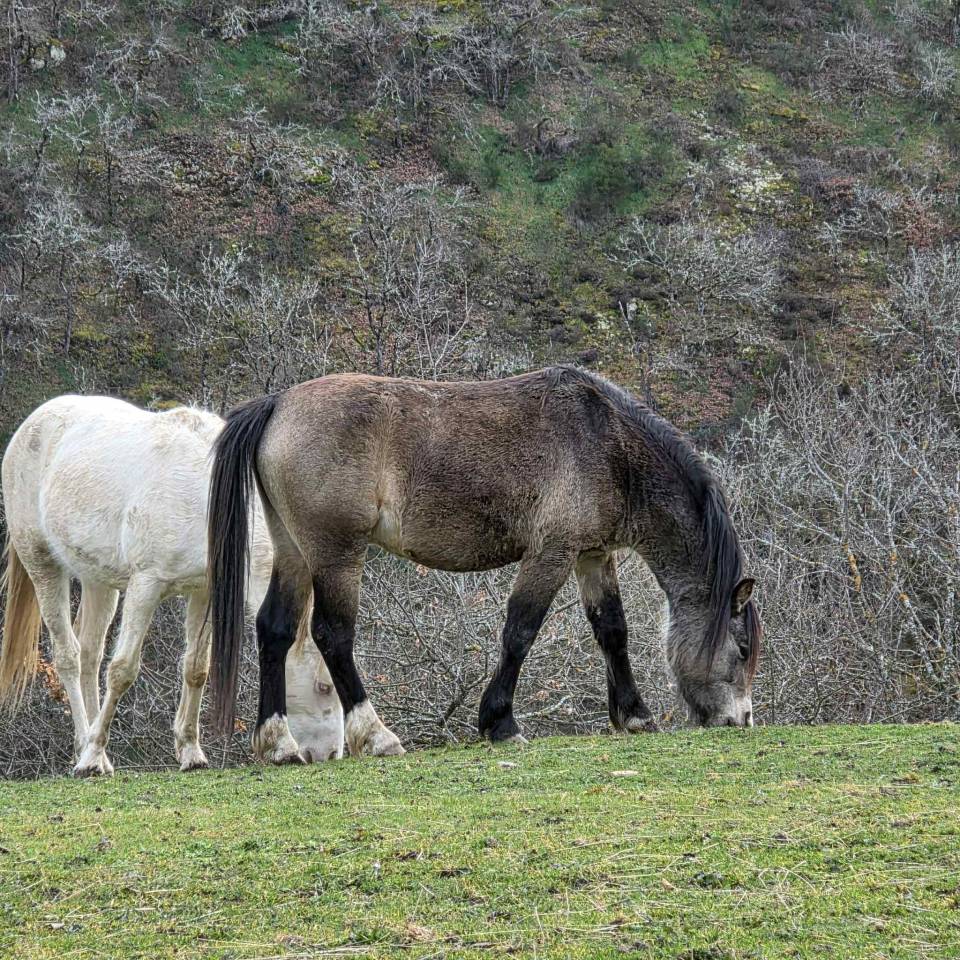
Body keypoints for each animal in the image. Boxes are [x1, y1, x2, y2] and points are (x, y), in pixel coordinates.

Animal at [0, 395, 343, 777]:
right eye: (324, 686)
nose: (332, 753)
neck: (205, 494)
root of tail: (34, 421)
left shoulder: (204, 592)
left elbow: (196, 669)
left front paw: (191, 753)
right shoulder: (145, 586)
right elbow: (122, 670)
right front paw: (93, 754)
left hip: (98, 581)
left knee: (90, 655)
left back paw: (93, 750)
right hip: (43, 566)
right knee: (69, 658)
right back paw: (88, 755)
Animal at [207, 366, 761, 761]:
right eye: (741, 648)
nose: (740, 720)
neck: (605, 442)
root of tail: (278, 403)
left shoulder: (592, 556)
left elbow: (612, 631)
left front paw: (633, 715)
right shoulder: (551, 553)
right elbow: (520, 631)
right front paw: (500, 722)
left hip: (295, 552)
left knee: (275, 630)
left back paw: (279, 743)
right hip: (336, 553)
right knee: (332, 635)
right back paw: (377, 735)